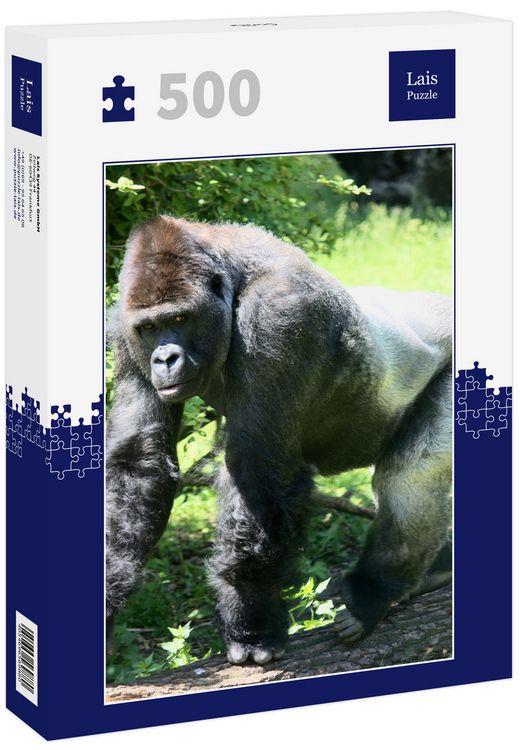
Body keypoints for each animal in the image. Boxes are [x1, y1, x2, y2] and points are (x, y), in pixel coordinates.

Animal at [105, 215, 452, 665]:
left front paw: (250, 620)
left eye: (180, 320)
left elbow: (259, 469)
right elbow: (139, 459)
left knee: (412, 475)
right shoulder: (122, 328)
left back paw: (373, 593)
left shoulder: (279, 314)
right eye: (149, 328)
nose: (165, 359)